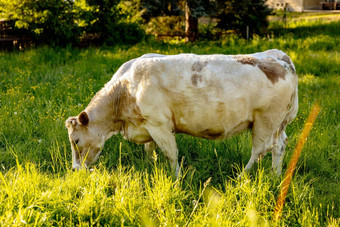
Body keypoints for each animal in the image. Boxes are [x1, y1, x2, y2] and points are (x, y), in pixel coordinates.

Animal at [65, 49, 298, 177]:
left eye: (76, 141)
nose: (75, 170)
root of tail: (280, 60)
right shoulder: (147, 125)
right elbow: (150, 149)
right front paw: (151, 166)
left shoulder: (159, 124)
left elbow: (171, 153)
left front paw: (176, 178)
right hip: (278, 124)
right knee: (279, 146)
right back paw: (275, 175)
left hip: (265, 120)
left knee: (260, 150)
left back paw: (241, 176)